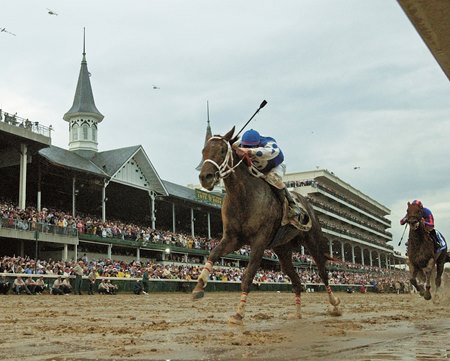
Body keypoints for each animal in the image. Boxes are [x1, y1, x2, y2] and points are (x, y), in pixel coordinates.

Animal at [192, 126, 340, 324]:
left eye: (222, 151)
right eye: (203, 151)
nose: (205, 177)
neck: (243, 196)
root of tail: (307, 203)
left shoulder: (259, 242)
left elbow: (248, 276)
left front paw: (239, 313)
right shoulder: (233, 239)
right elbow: (213, 253)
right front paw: (199, 287)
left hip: (312, 240)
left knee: (323, 272)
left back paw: (335, 304)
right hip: (282, 249)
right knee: (296, 281)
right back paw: (298, 314)